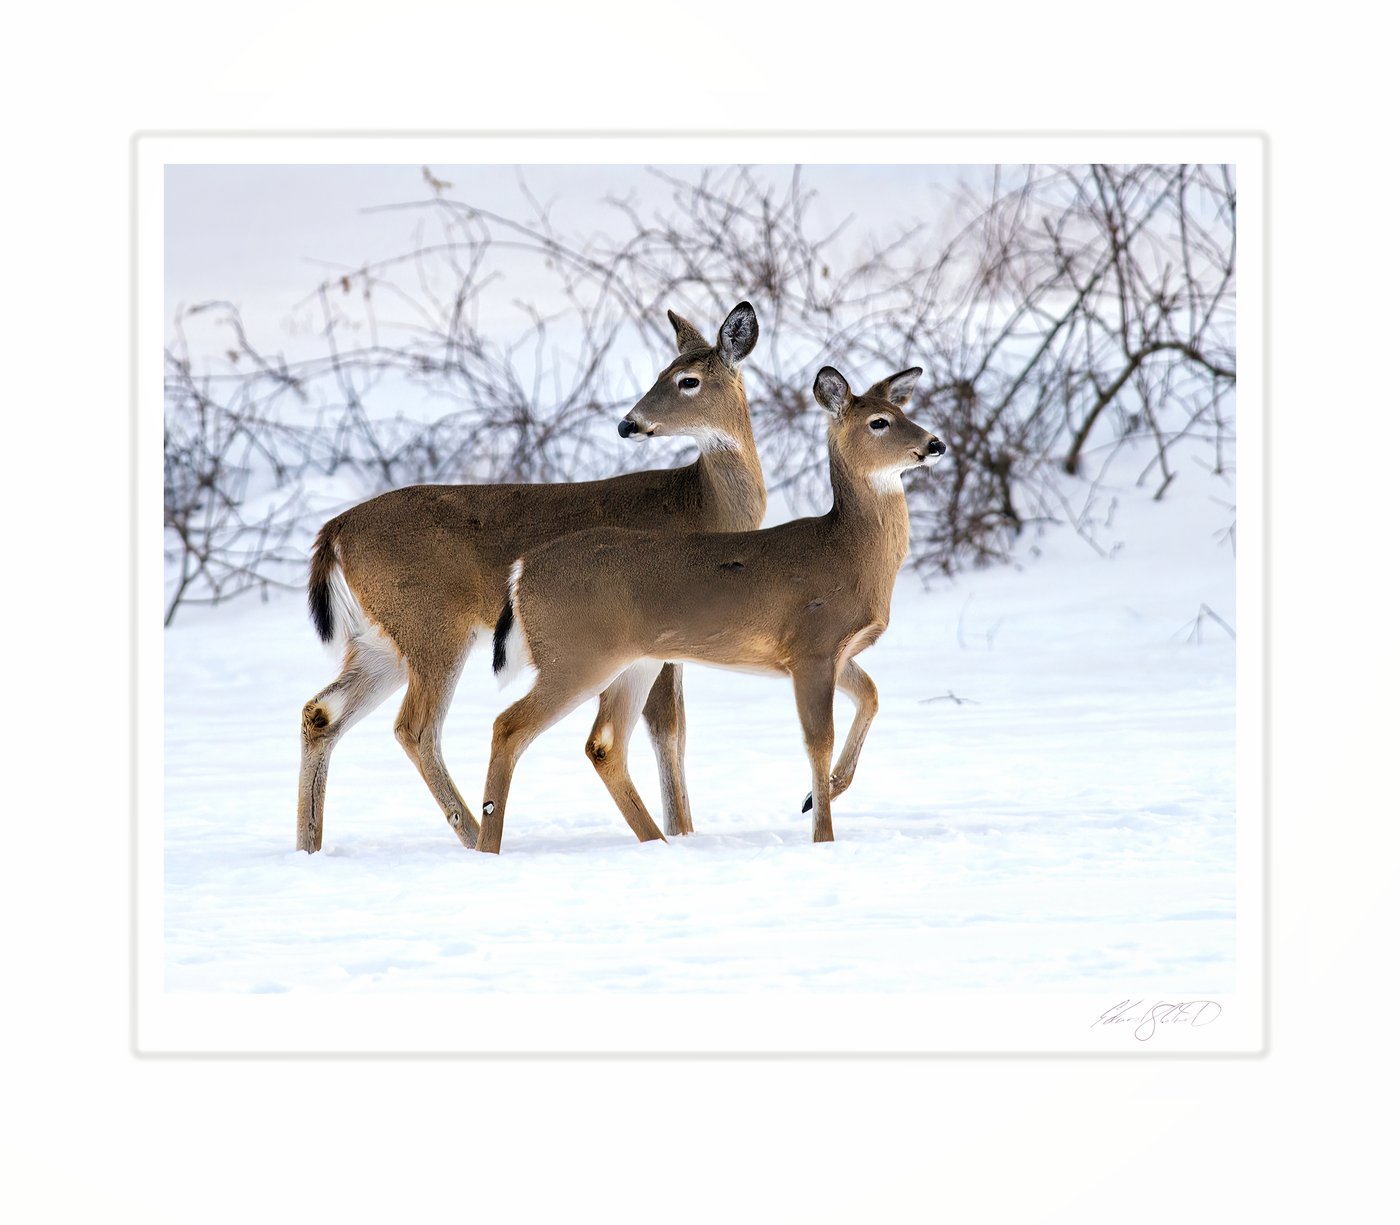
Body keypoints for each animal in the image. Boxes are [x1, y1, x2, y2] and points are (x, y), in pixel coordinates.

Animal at [296, 301, 766, 853]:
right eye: (664, 373)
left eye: (686, 379)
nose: (628, 424)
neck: (704, 507)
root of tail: (334, 530)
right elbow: (668, 730)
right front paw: (681, 832)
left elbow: (676, 730)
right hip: (432, 626)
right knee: (416, 728)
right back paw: (474, 833)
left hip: (379, 640)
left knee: (322, 712)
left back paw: (309, 844)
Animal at [482, 363, 945, 852]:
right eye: (880, 422)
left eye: (904, 411)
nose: (935, 443)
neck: (850, 554)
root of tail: (521, 570)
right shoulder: (812, 645)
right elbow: (818, 740)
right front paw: (823, 837)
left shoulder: (836, 651)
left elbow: (871, 696)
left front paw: (814, 798)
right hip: (574, 656)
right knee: (508, 727)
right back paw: (488, 848)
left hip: (634, 663)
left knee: (603, 745)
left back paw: (658, 843)